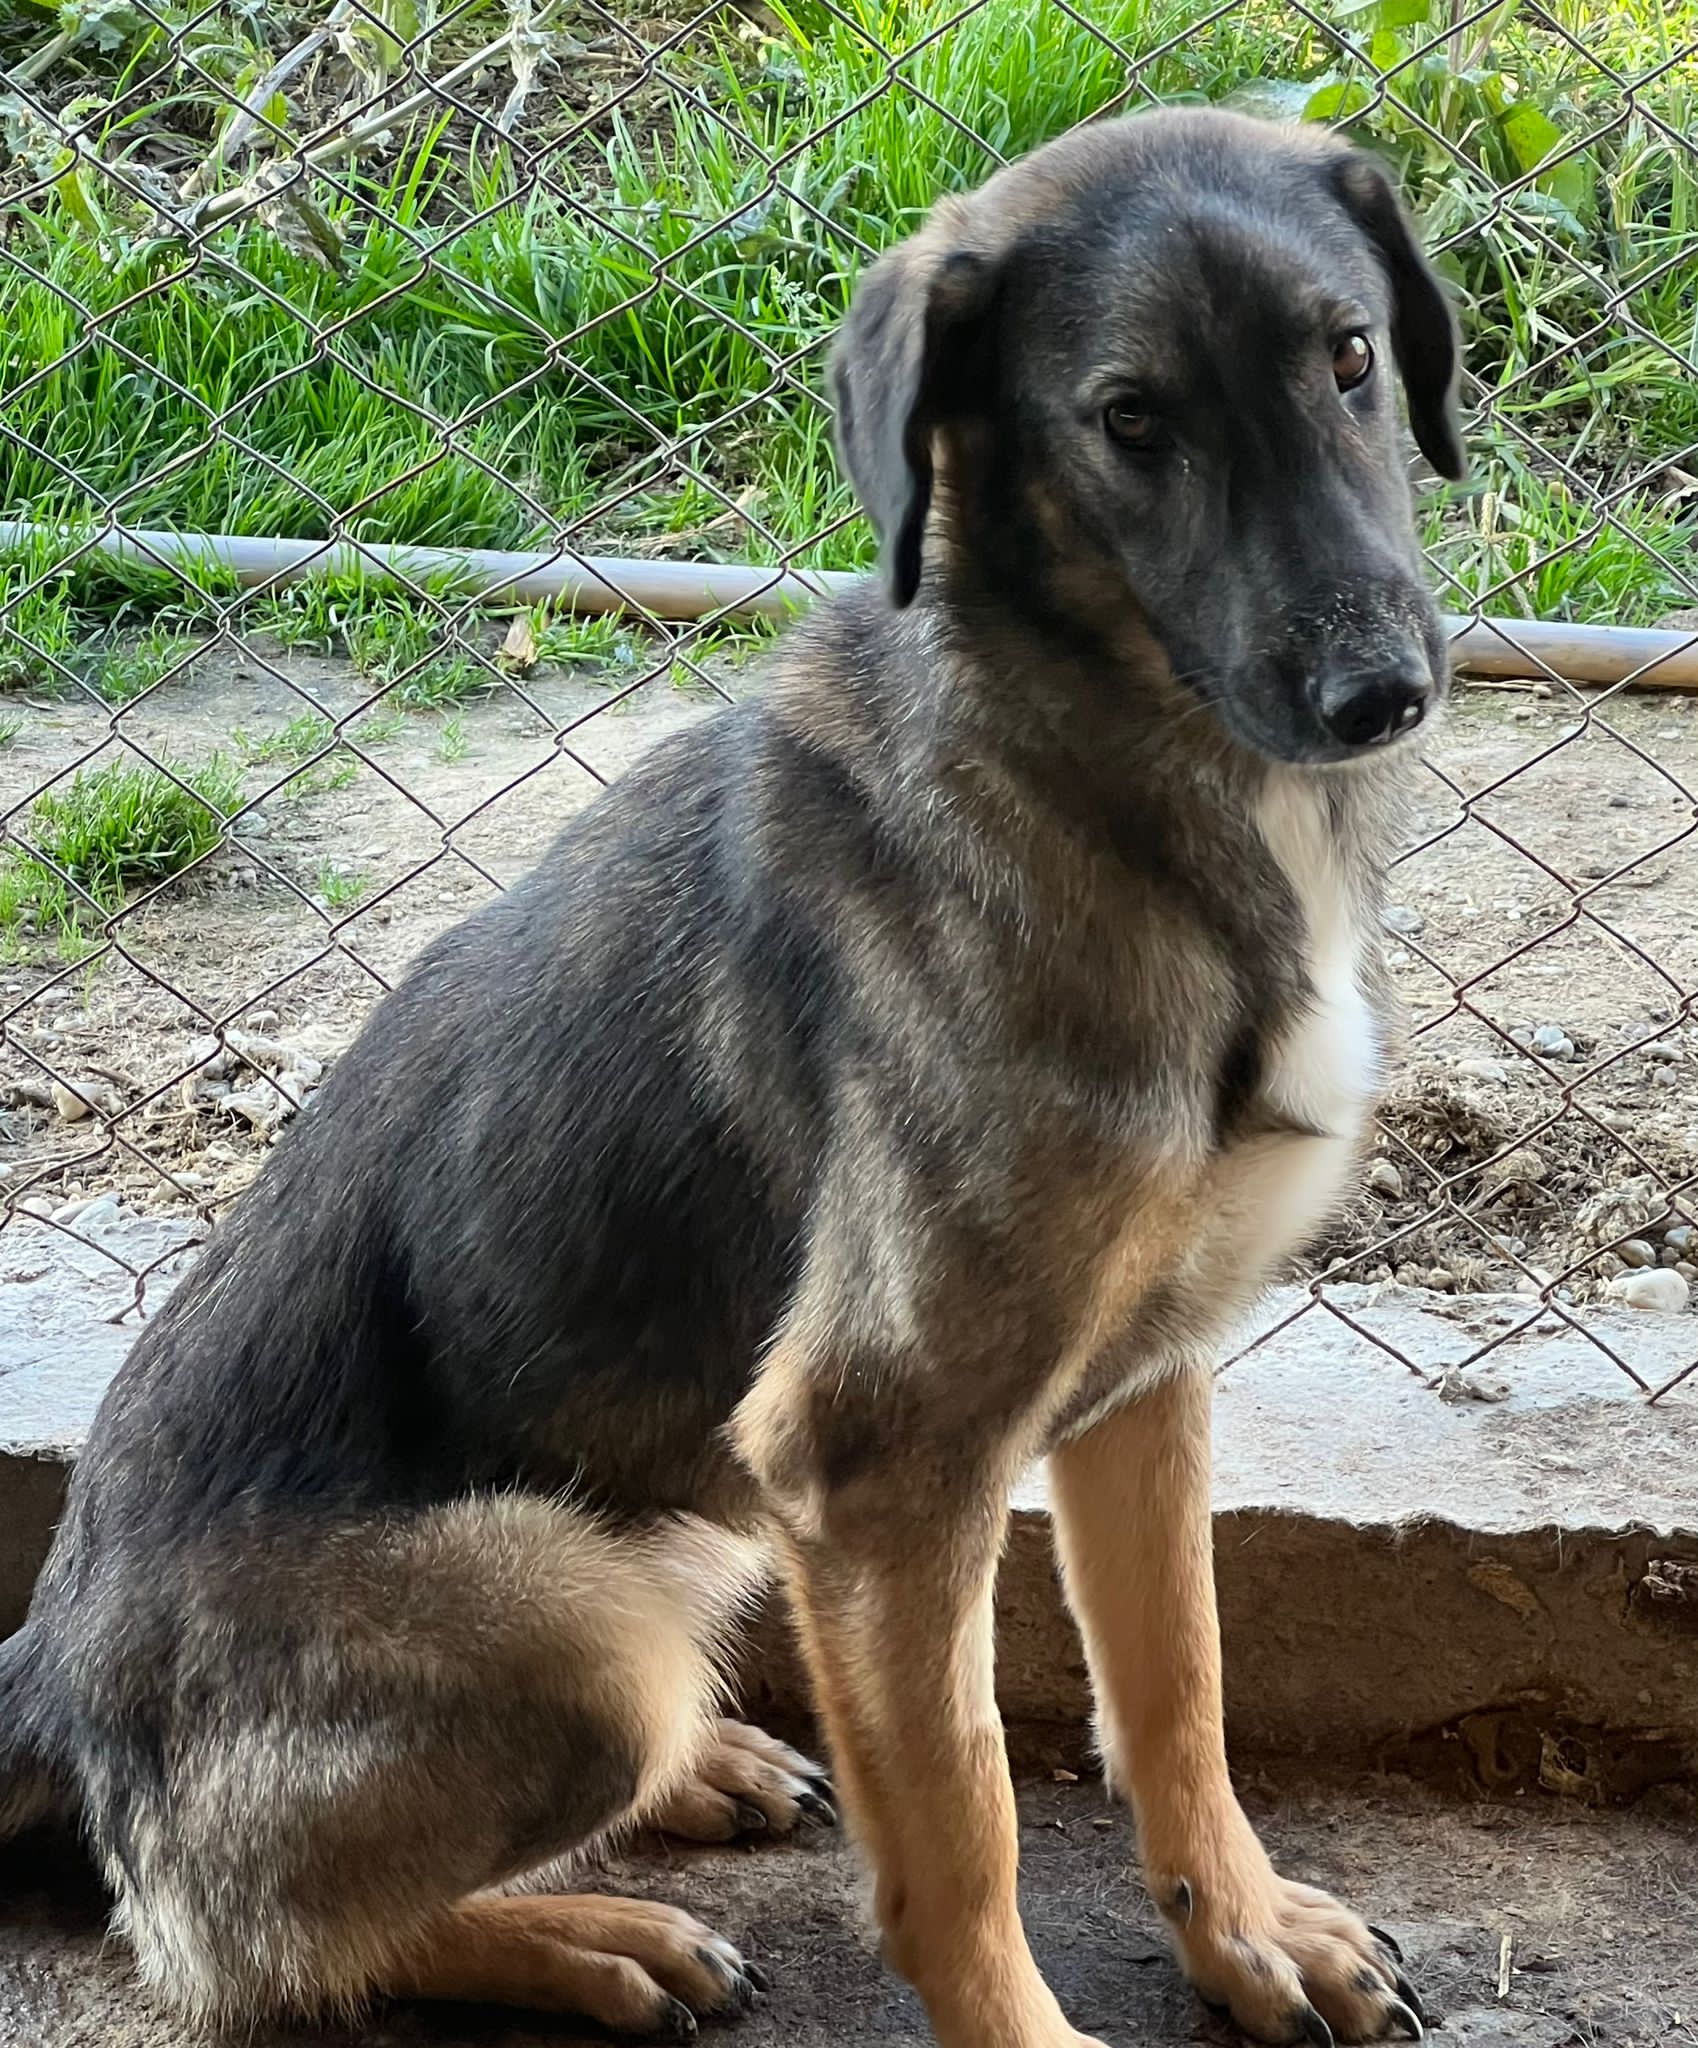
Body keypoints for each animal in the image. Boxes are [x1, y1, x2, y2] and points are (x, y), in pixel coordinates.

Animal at [0, 105, 1460, 2047]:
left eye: (1349, 358)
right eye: (1129, 420)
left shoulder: (1142, 1387)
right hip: (573, 1614)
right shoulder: (880, 1459)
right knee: (246, 1948)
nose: (1380, 691)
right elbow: (967, 1817)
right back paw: (590, 1935)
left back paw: (699, 1771)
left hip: (692, 1530)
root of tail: (46, 1679)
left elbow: (1178, 1693)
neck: (1113, 776)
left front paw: (1241, 1932)